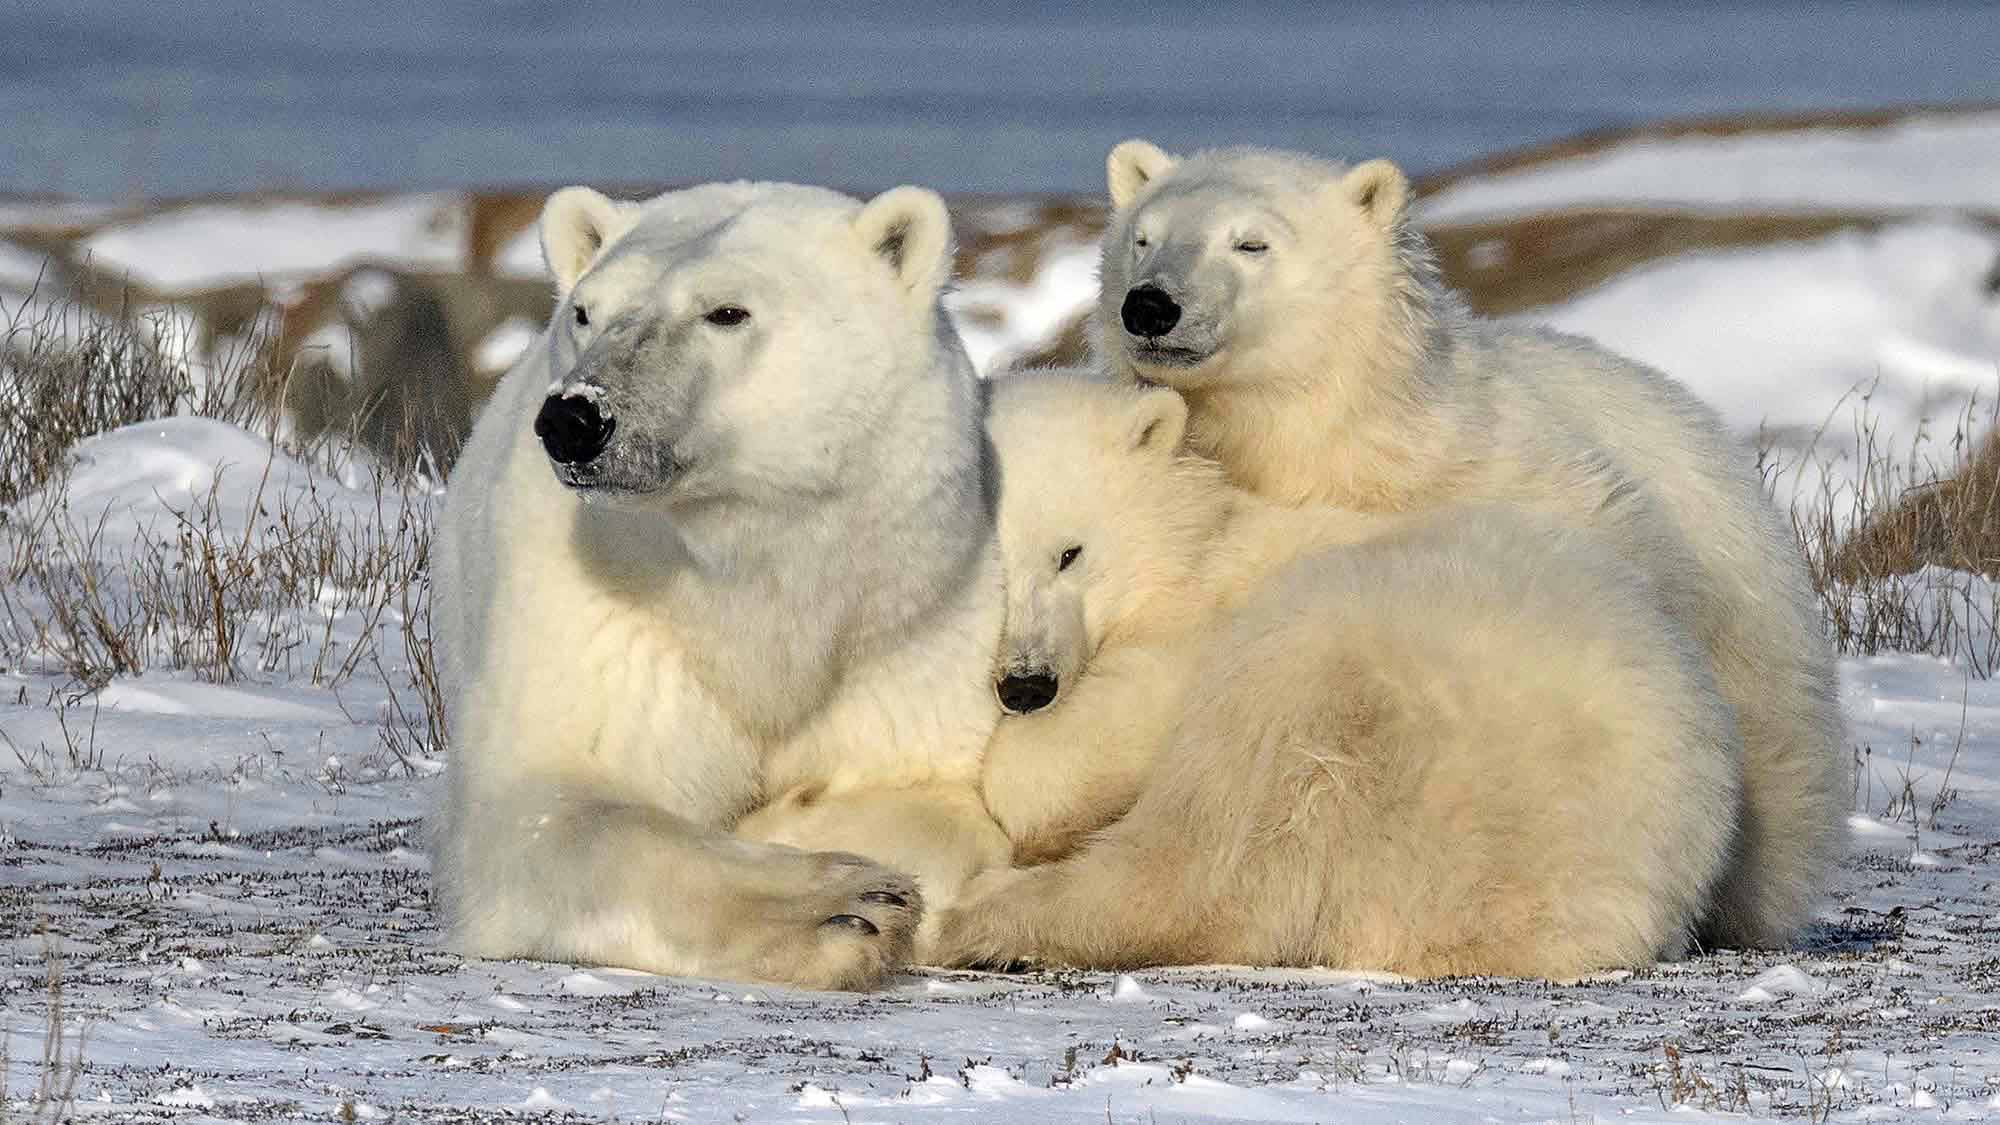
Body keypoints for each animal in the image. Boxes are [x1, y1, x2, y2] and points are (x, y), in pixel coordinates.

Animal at [431, 179, 1006, 991]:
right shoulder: (597, 620)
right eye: (585, 312)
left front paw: (798, 819)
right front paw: (847, 906)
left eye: (727, 312)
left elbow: (941, 800)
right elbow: (561, 808)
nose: (575, 418)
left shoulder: (911, 619)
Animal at [931, 373, 1744, 978]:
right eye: (984, 570)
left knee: (1213, 845)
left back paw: (979, 915)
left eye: (1069, 553)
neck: (1197, 551)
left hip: (1362, 654)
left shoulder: (1201, 628)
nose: (1025, 684)